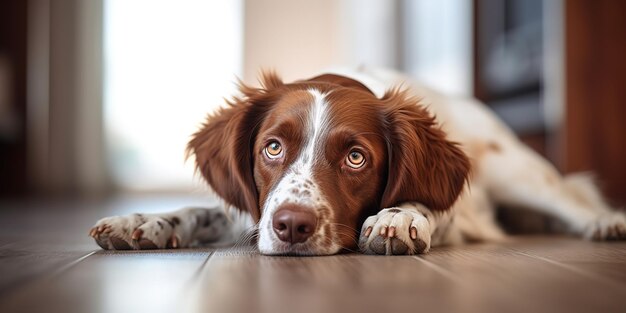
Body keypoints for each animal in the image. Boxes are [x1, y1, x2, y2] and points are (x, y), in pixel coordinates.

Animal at [88, 67, 624, 255]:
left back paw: (607, 222)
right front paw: (146, 220)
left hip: (516, 171)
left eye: (355, 157)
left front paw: (398, 218)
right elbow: (201, 211)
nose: (292, 226)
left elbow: (422, 203)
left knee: (572, 200)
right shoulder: (249, 209)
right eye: (272, 148)